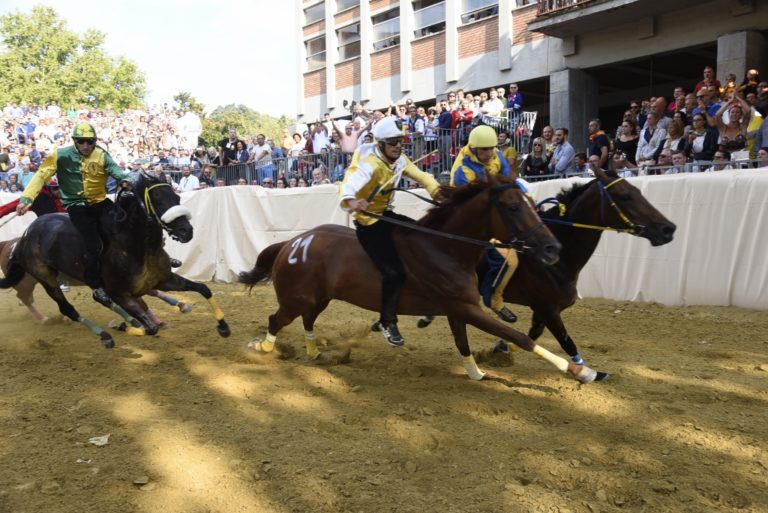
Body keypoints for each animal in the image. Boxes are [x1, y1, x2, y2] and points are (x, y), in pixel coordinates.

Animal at [240, 178, 608, 382]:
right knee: (275, 319)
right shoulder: (468, 308)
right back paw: (263, 348)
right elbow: (521, 337)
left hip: (318, 297)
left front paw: (476, 373)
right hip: (297, 297)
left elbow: (463, 344)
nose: (552, 247)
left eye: (532, 203)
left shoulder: (459, 308)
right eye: (513, 207)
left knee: (306, 321)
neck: (445, 248)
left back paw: (316, 353)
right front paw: (583, 372)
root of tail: (292, 242)